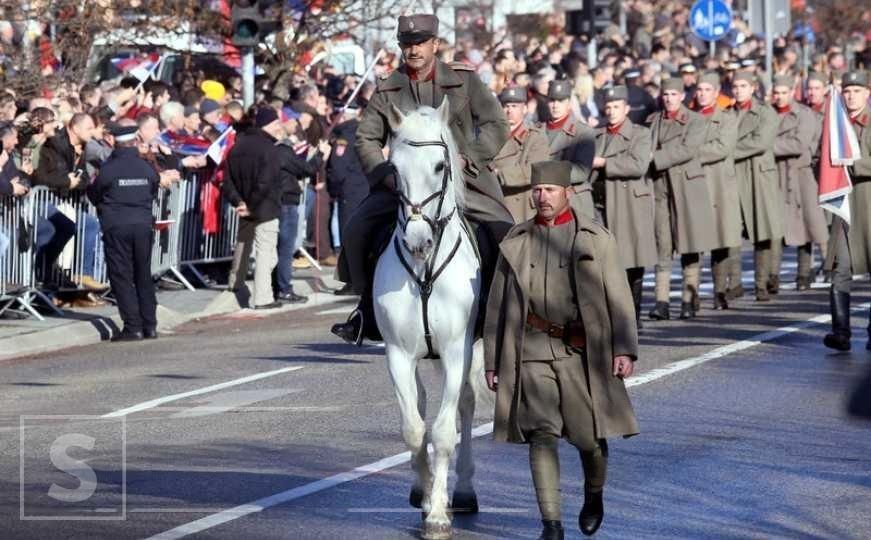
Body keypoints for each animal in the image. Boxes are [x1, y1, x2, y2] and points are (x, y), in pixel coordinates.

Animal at [374, 98, 490, 540]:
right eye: (394, 169)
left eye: (441, 166)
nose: (418, 241)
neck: (424, 272)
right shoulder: (397, 353)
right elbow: (413, 428)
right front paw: (424, 495)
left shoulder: (457, 350)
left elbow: (442, 432)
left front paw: (439, 513)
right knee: (422, 404)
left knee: (466, 405)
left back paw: (465, 492)